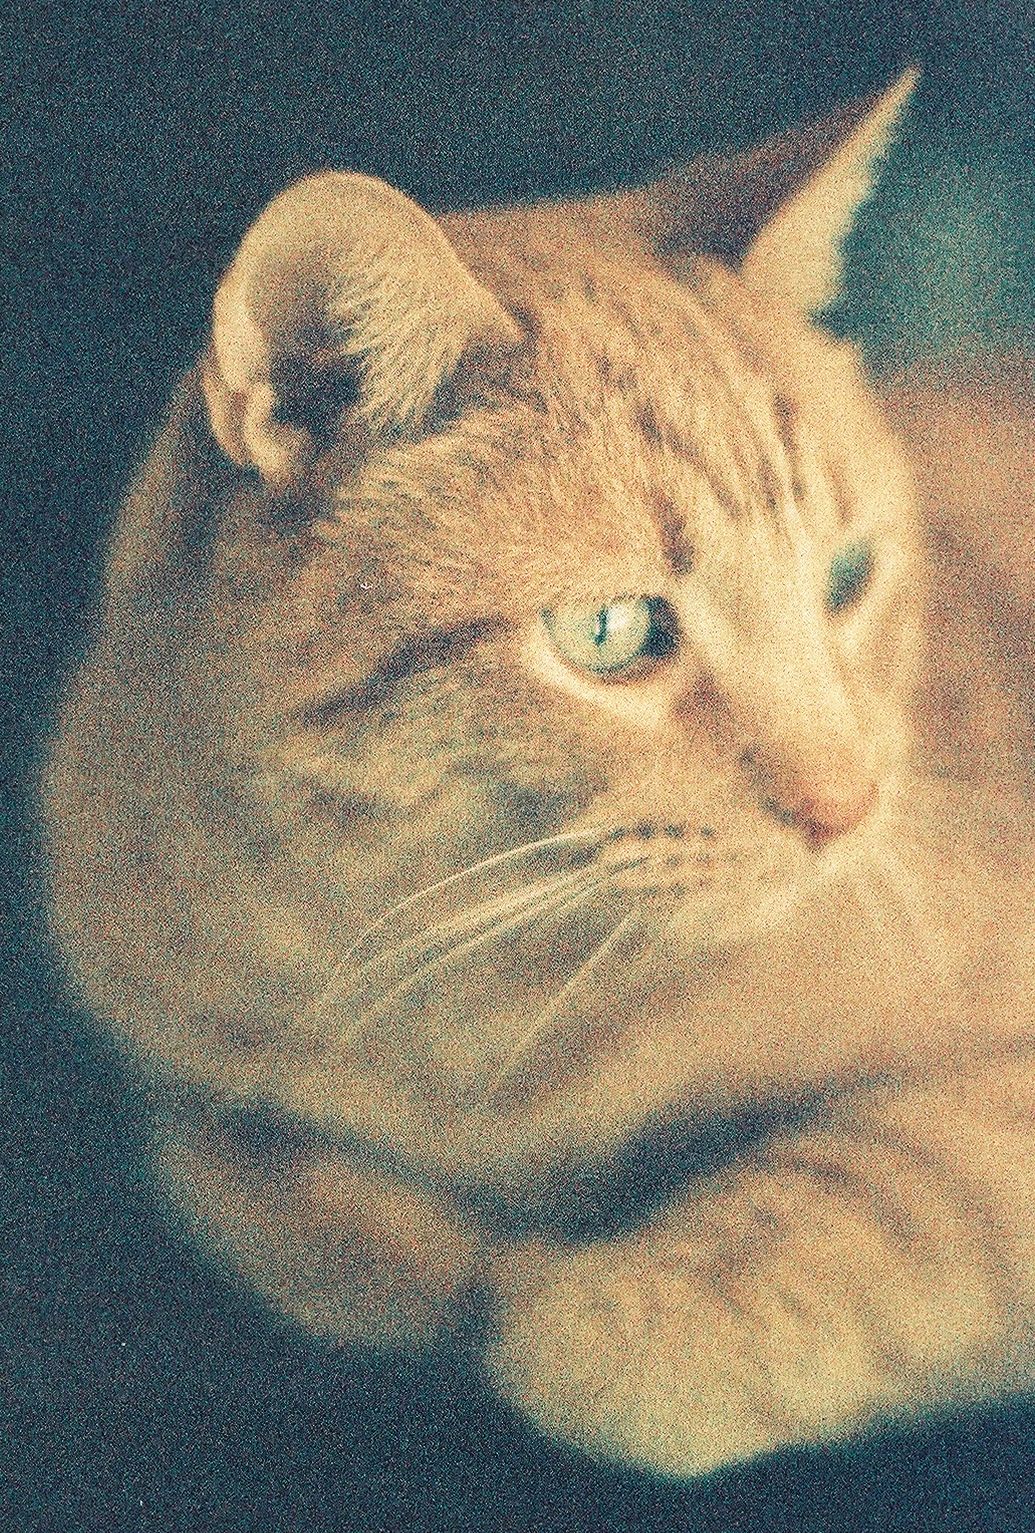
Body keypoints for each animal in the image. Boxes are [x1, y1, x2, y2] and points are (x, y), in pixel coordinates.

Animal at [40, 68, 1035, 1471]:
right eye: (610, 634)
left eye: (847, 577)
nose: (847, 809)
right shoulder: (191, 1084)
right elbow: (267, 1193)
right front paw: (434, 1260)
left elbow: (874, 1197)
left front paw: (572, 1307)